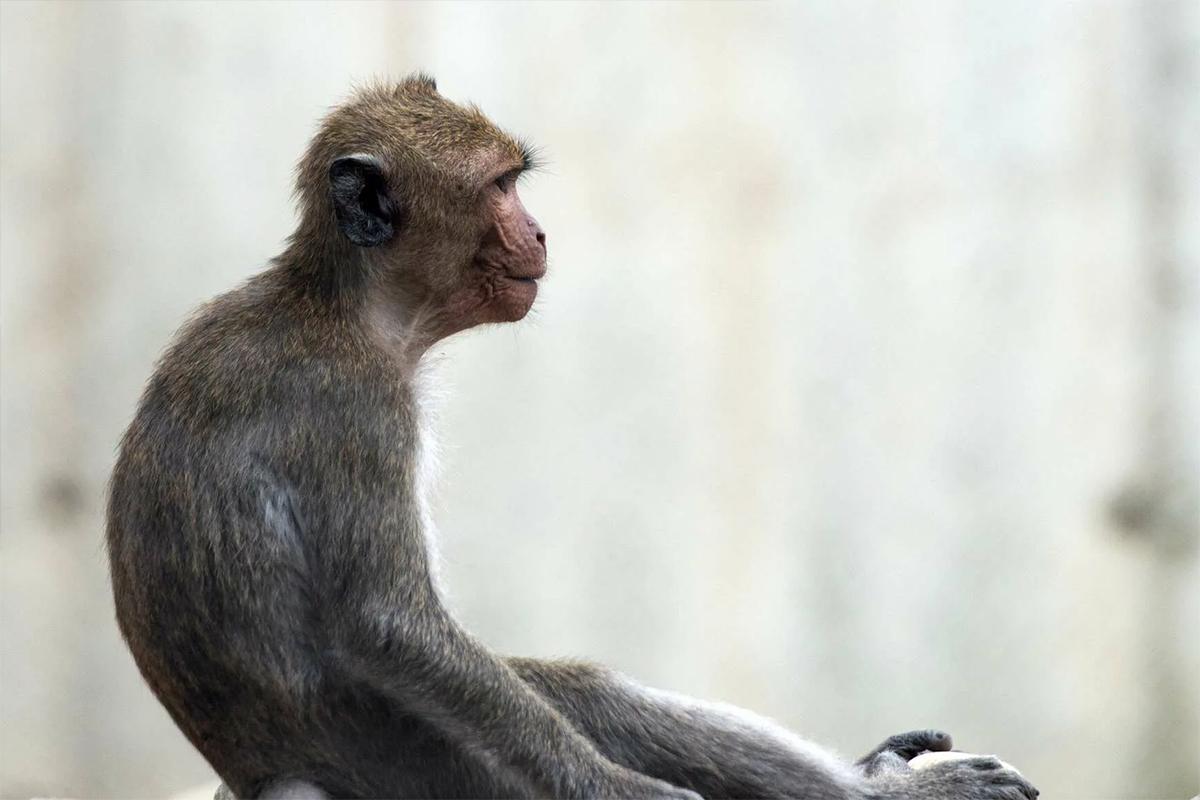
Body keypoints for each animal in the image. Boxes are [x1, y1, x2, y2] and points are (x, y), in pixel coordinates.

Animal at [105, 74, 1041, 800]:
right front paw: (623, 791)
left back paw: (871, 779)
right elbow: (389, 625)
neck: (346, 303)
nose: (541, 231)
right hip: (428, 768)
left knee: (584, 692)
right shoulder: (357, 405)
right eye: (497, 187)